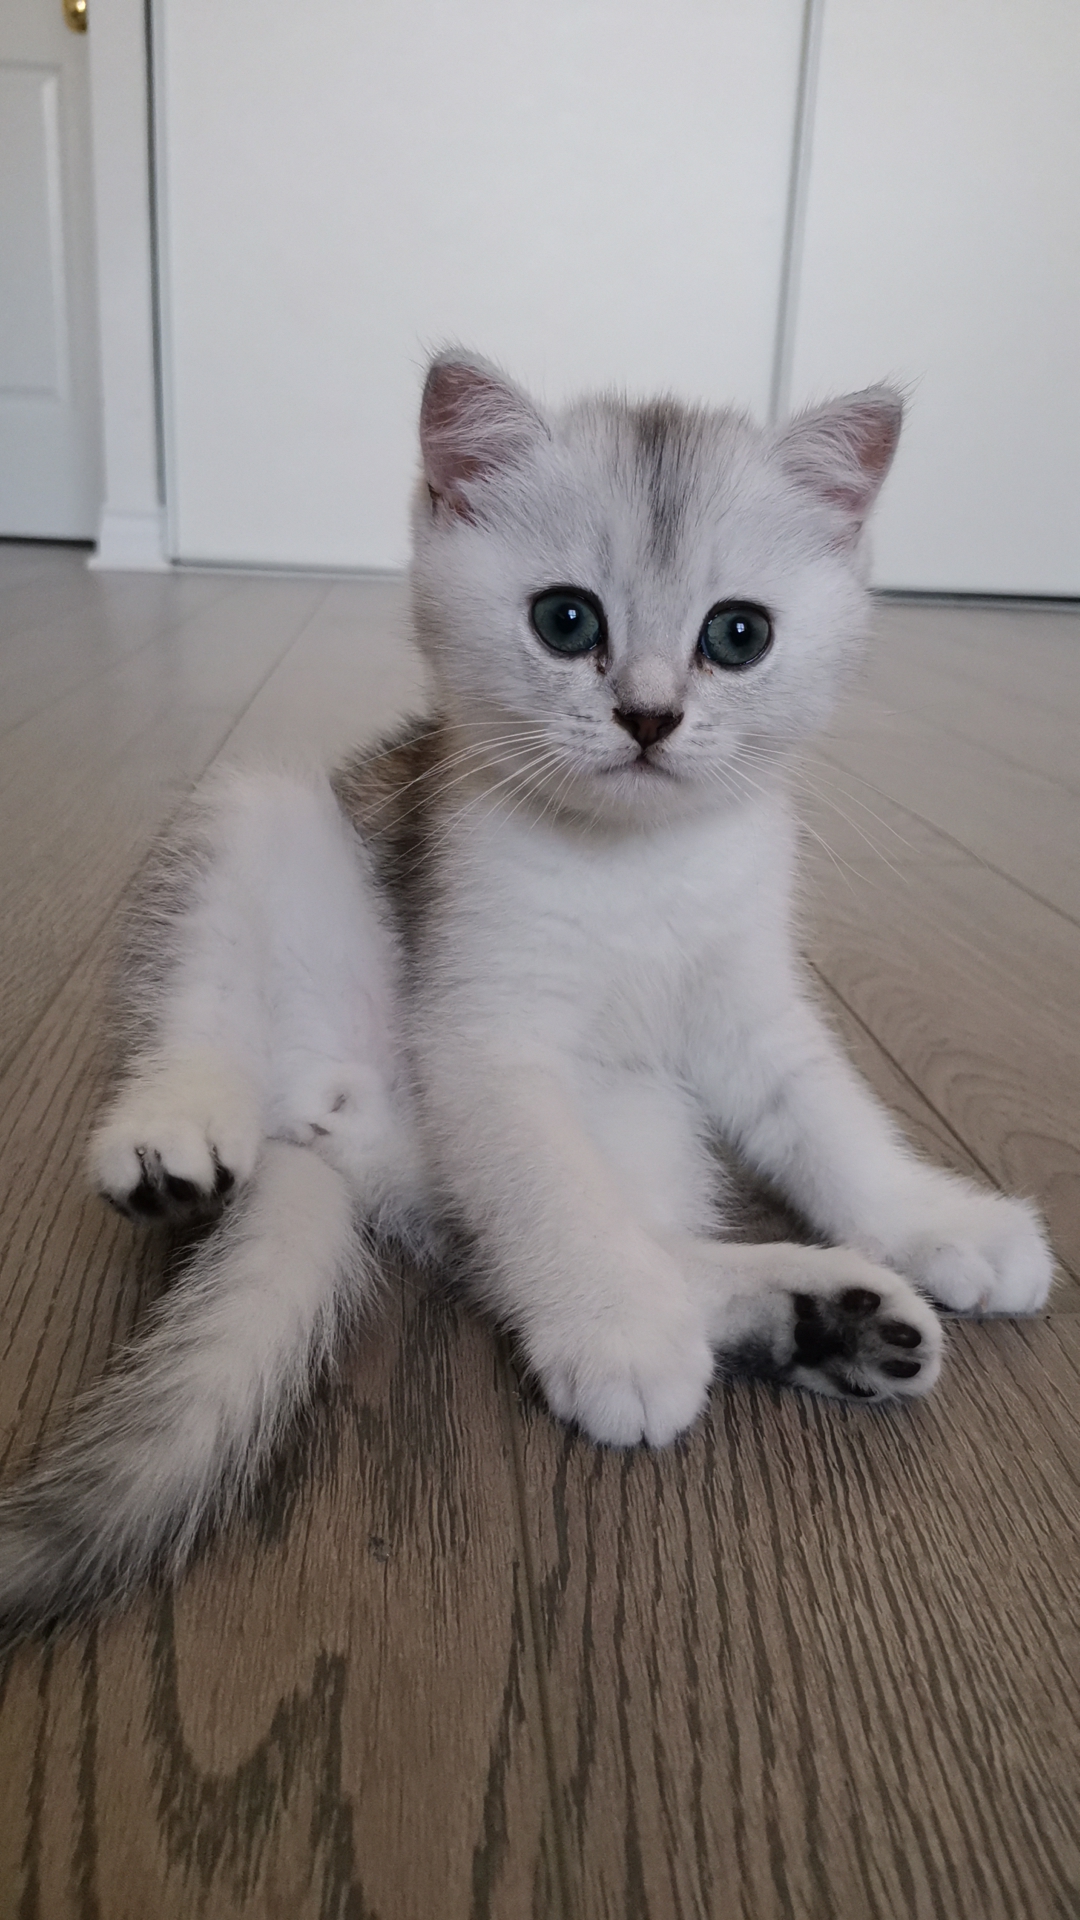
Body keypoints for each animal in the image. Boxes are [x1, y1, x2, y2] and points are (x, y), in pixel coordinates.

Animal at [0, 351, 1053, 1643]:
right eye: (567, 620)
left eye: (738, 635)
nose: (649, 715)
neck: (638, 864)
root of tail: (327, 1130)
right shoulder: (485, 1035)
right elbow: (552, 1190)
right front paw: (612, 1327)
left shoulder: (754, 1008)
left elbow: (831, 1123)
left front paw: (937, 1219)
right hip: (252, 823)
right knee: (209, 1013)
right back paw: (176, 1129)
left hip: (639, 1115)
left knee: (619, 1234)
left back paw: (827, 1317)